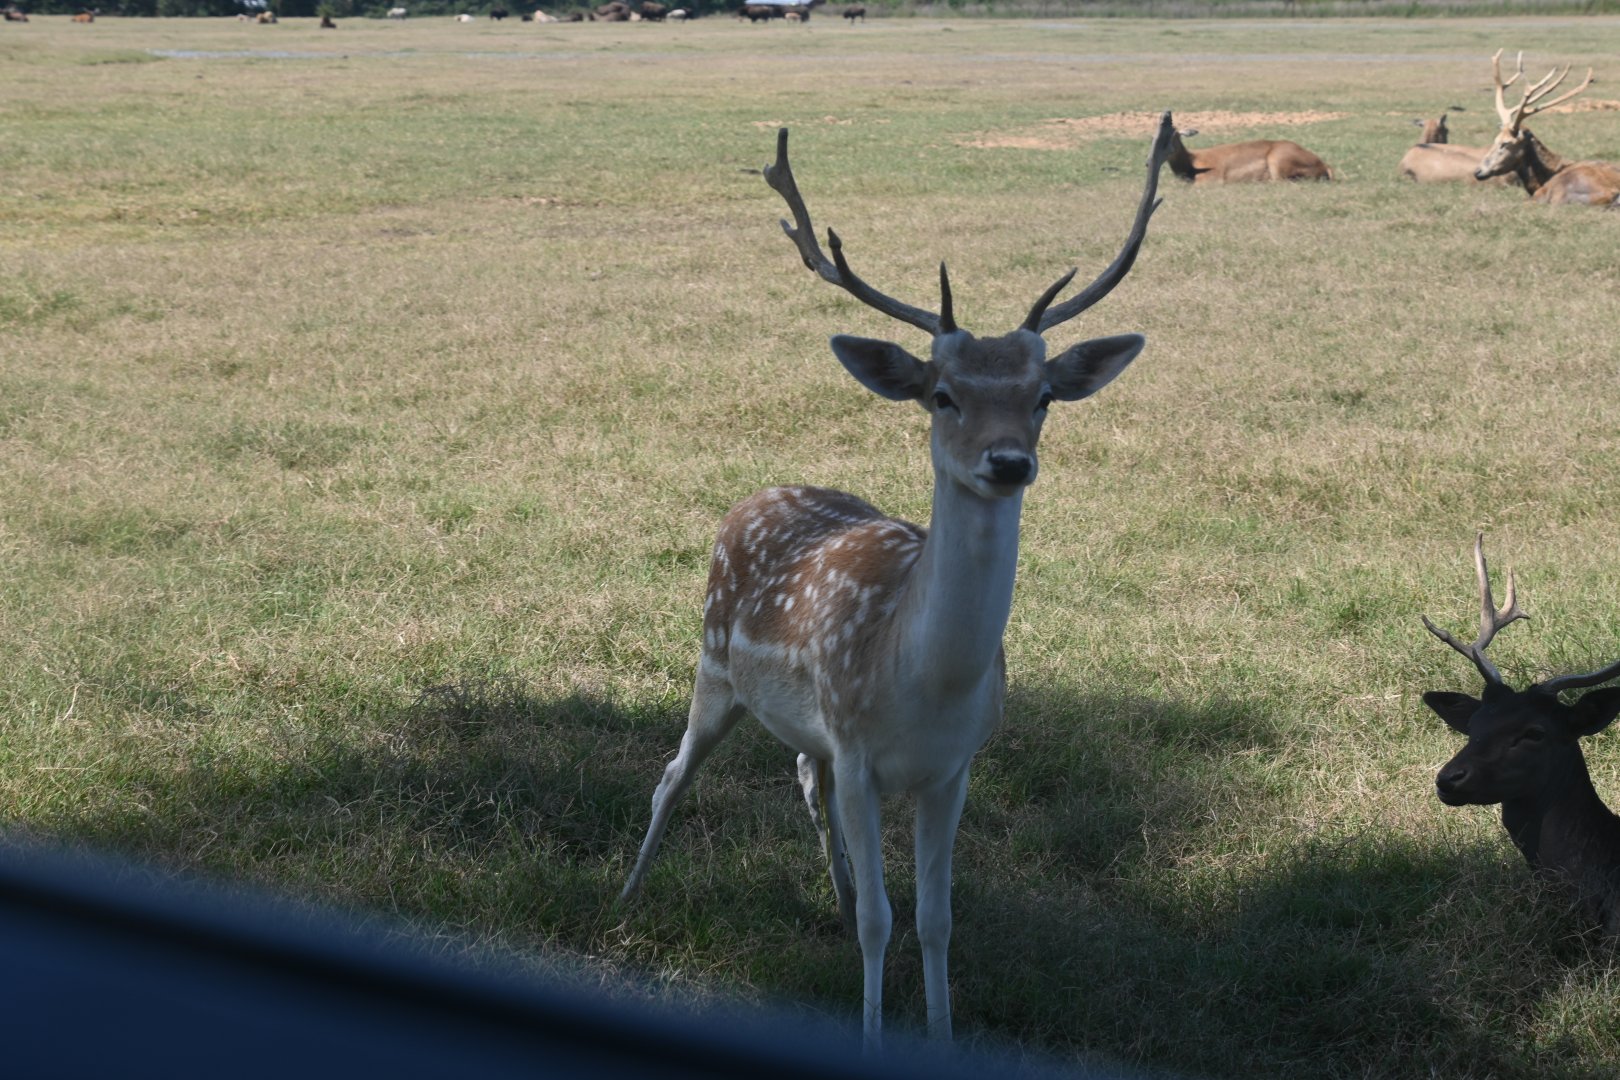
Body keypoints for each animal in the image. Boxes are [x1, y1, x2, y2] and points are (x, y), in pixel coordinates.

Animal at [620, 114, 1176, 1051]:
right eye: (942, 395)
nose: (1008, 461)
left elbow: (936, 918)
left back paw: (835, 900)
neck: (925, 684)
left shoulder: (953, 767)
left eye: (1043, 398)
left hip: (799, 722)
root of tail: (754, 495)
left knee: (800, 774)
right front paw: (875, 1031)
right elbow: (889, 921)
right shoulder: (859, 753)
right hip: (711, 662)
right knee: (672, 773)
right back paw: (626, 900)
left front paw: (943, 1033)